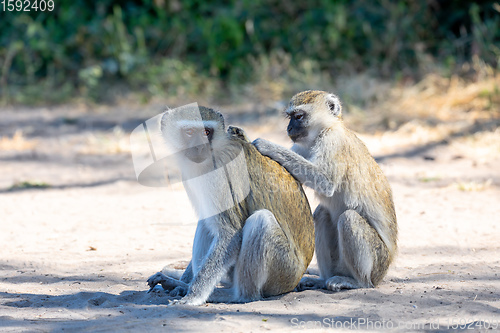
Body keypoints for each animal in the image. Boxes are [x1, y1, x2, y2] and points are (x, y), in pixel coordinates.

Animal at [146, 104, 314, 304]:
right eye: (189, 132)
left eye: (206, 132)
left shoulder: (219, 173)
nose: (200, 147)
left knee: (261, 221)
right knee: (207, 222)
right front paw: (183, 284)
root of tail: (298, 276)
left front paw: (193, 296)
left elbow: (230, 233)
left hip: (284, 272)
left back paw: (236, 296)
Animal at [254, 90, 398, 290]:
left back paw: (357, 282)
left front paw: (266, 145)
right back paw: (323, 279)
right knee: (322, 214)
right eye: (290, 117)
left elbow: (325, 182)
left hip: (378, 263)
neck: (326, 129)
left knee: (348, 218)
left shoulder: (332, 141)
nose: (288, 129)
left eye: (299, 116)